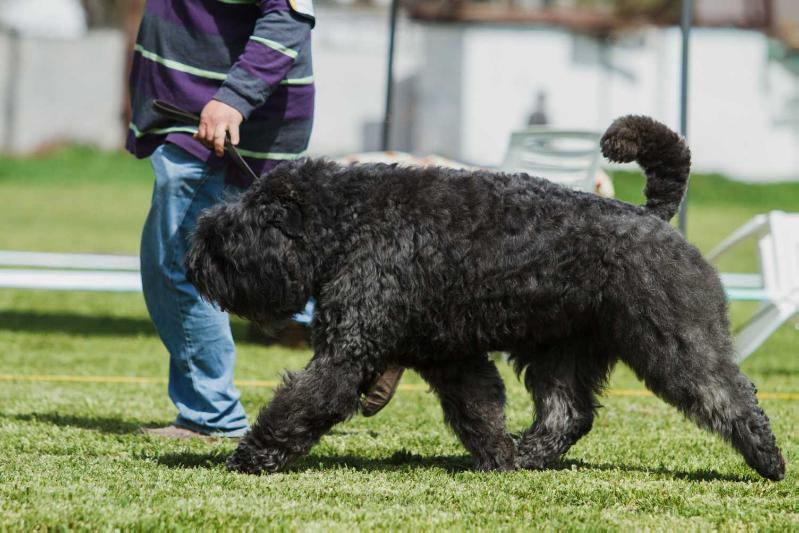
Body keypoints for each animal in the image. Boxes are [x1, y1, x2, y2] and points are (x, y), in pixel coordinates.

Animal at [184, 115, 784, 478]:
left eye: (235, 229)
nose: (194, 257)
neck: (348, 220)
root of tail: (651, 216)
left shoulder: (348, 351)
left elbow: (305, 400)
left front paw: (252, 455)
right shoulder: (448, 355)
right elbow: (478, 407)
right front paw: (498, 456)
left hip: (675, 340)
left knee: (726, 392)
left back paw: (769, 460)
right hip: (560, 352)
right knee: (567, 414)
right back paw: (529, 454)